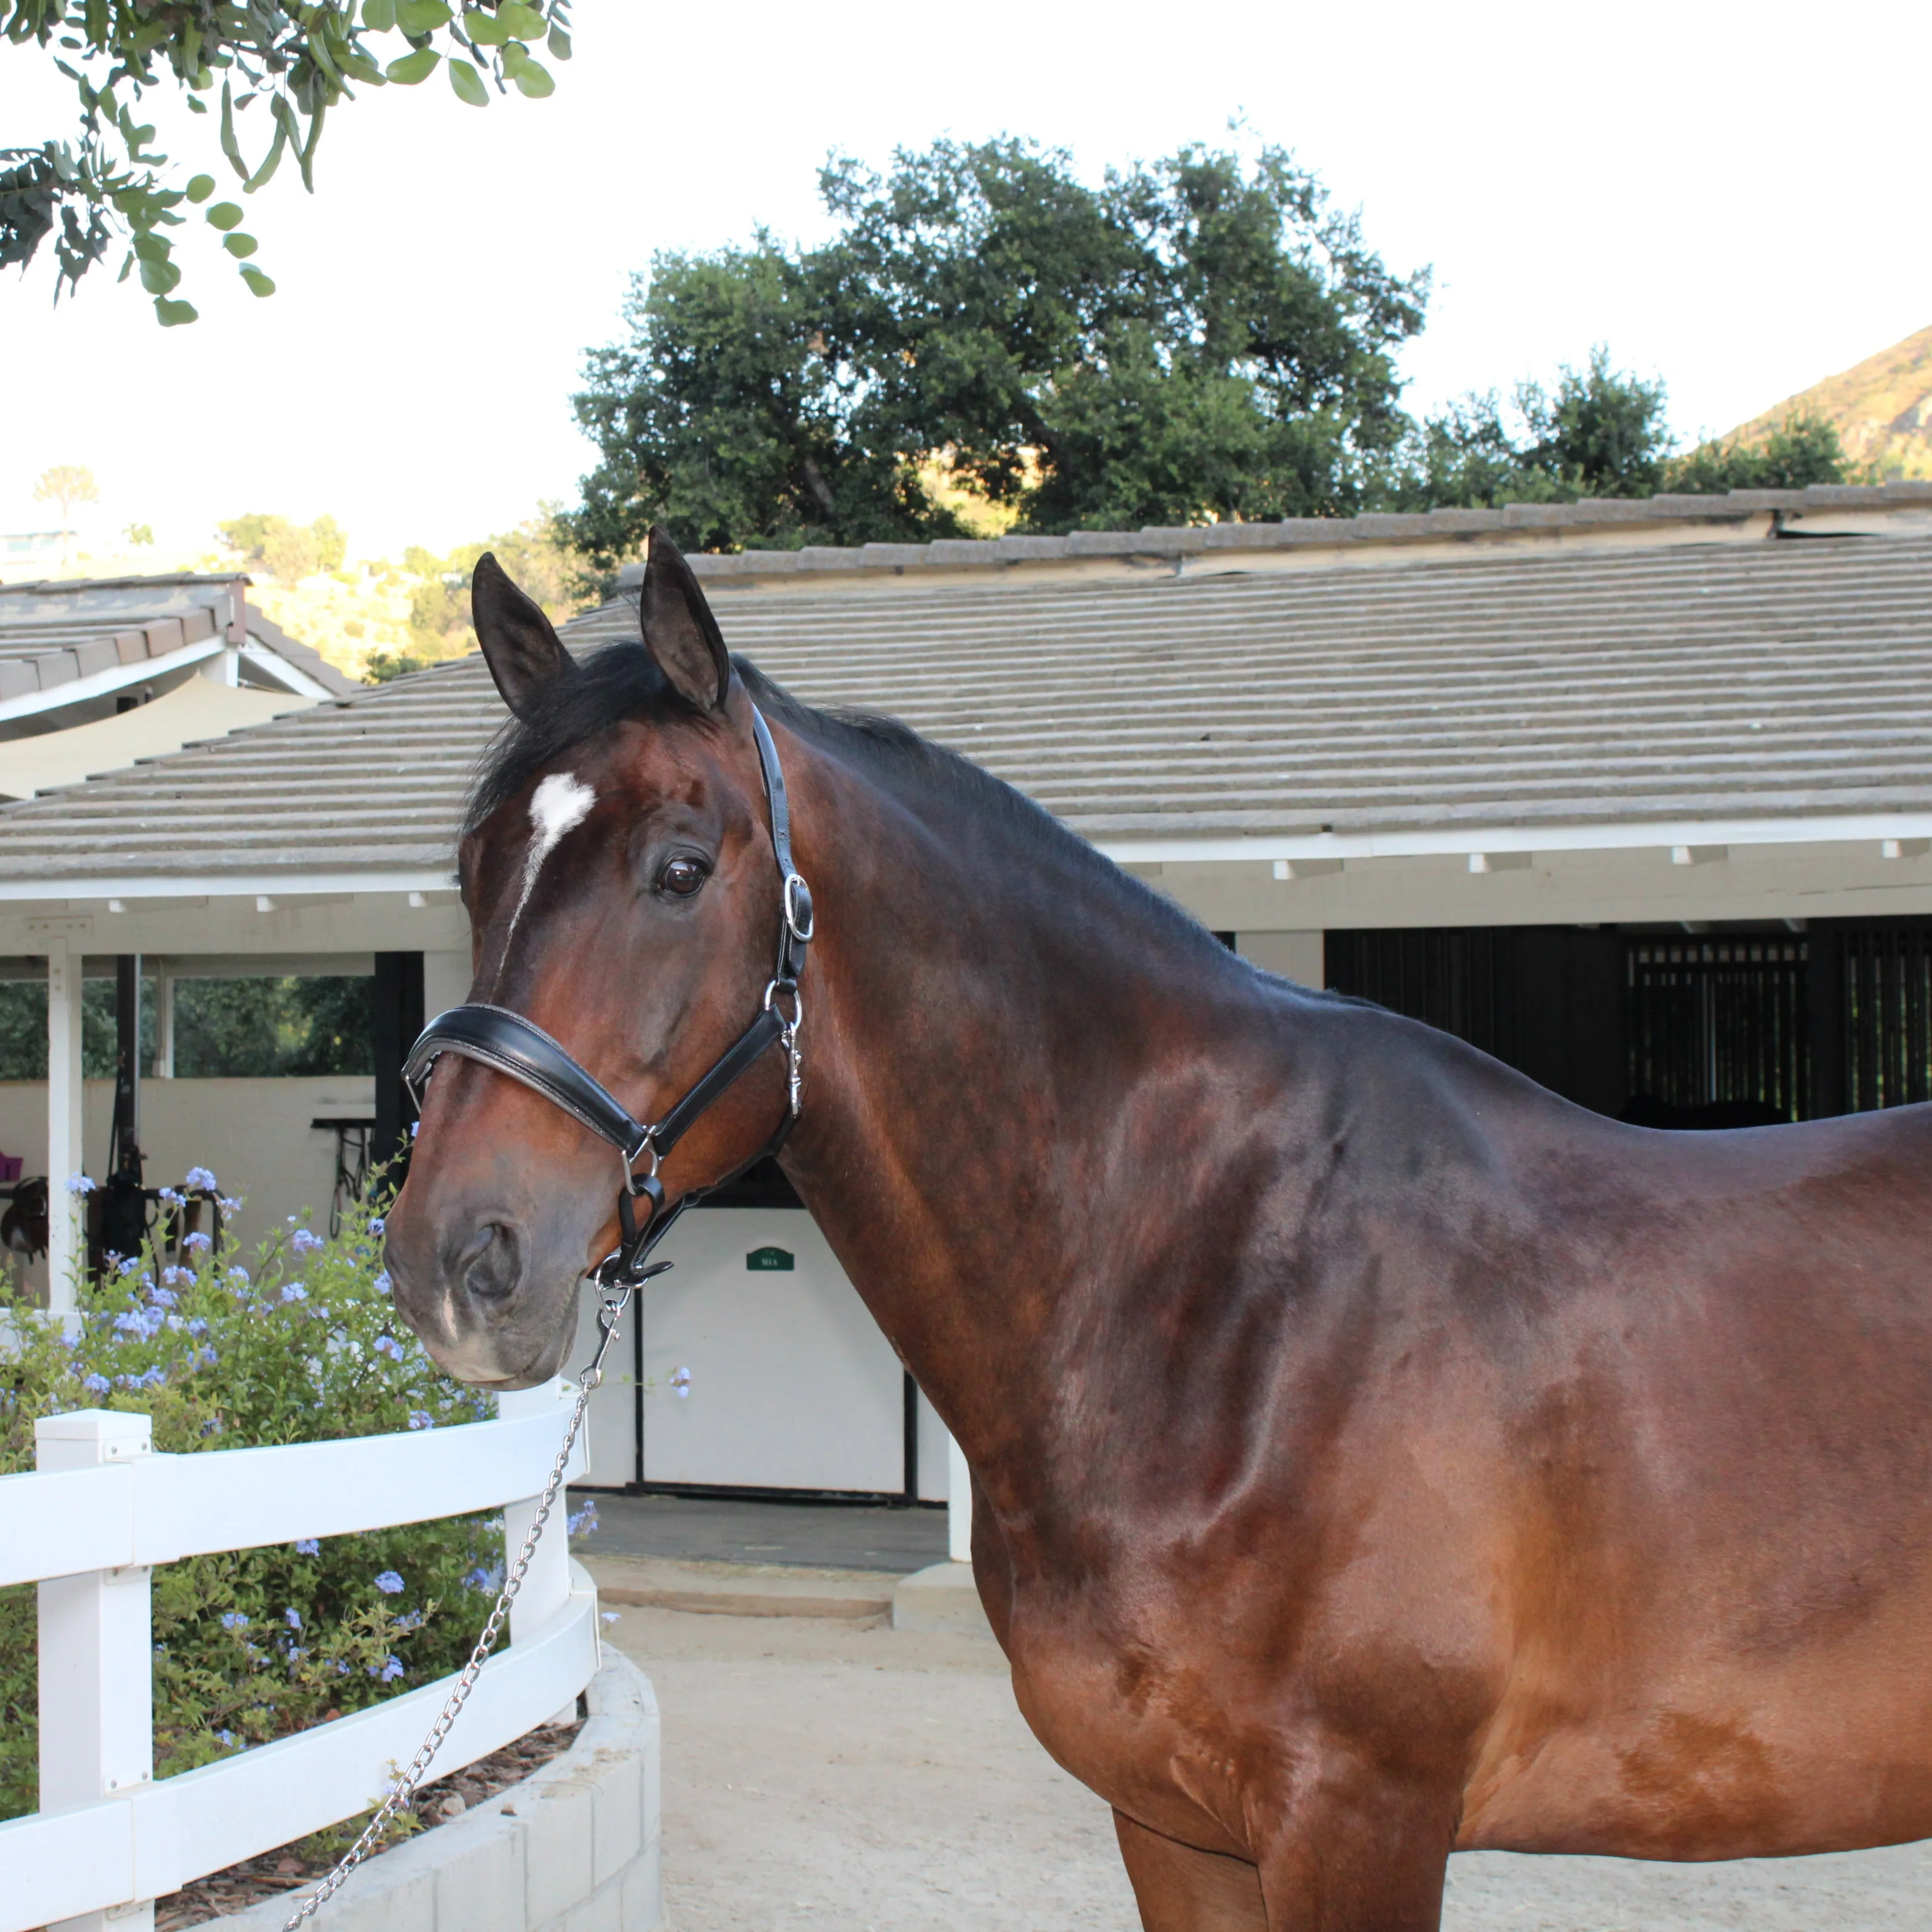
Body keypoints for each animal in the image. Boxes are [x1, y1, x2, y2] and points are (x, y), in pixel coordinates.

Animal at [380, 537, 1932, 1932]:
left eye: (681, 866)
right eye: (473, 867)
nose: (453, 1258)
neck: (1229, 1297)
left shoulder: (1356, 1821)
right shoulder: (1174, 1827)